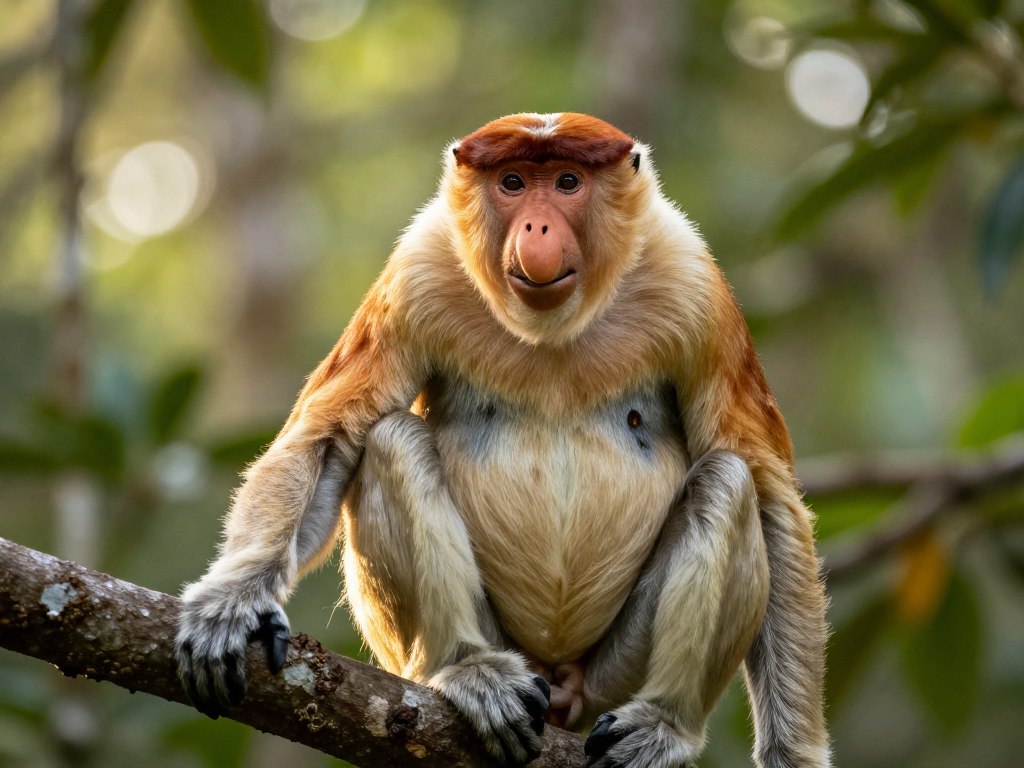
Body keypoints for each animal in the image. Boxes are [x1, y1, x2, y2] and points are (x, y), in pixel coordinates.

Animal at [175, 113, 830, 768]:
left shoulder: (698, 288)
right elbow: (329, 436)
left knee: (728, 480)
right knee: (392, 440)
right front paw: (231, 606)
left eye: (567, 181)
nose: (536, 227)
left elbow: (771, 496)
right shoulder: (416, 272)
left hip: (613, 674)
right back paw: (471, 670)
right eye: (512, 182)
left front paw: (790, 755)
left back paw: (662, 724)